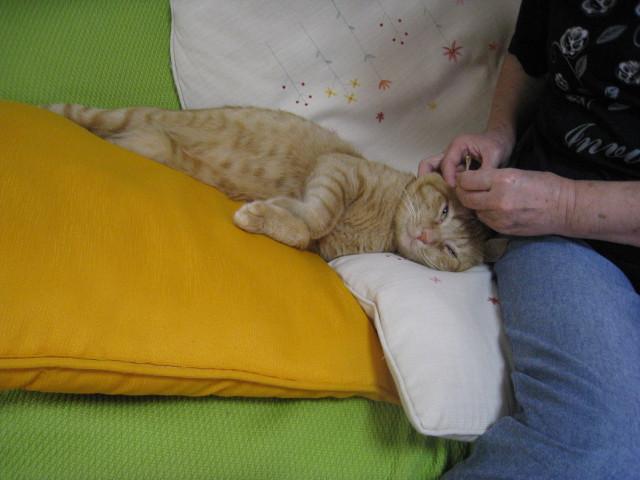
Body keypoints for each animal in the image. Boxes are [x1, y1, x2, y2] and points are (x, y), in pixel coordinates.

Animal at [44, 104, 490, 271]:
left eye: (450, 251)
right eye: (444, 211)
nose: (425, 236)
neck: (383, 224)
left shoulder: (320, 248)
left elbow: (300, 232)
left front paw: (270, 212)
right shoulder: (338, 169)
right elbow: (316, 217)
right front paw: (277, 210)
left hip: (145, 145)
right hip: (120, 117)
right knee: (74, 114)